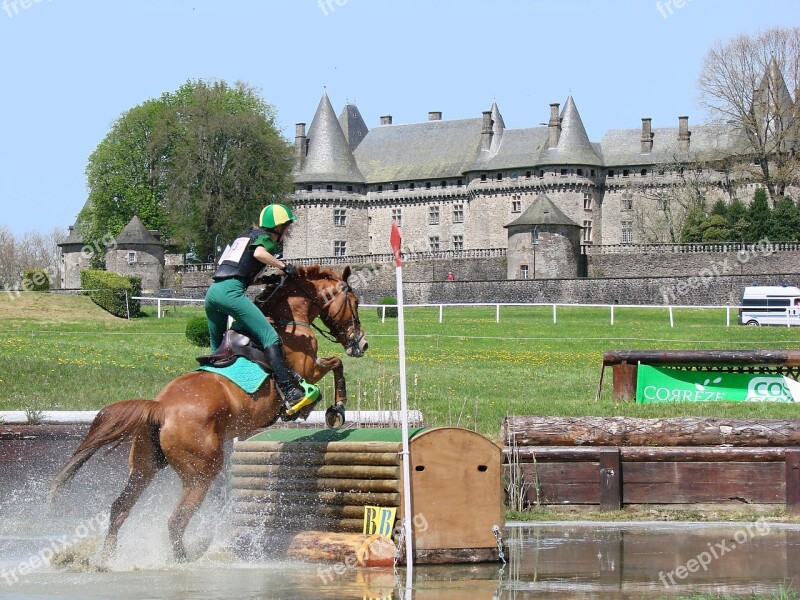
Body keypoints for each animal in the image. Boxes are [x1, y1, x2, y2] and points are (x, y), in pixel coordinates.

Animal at [51, 266, 370, 564]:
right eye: (354, 301)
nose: (361, 343)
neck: (288, 320)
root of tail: (161, 408)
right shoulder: (309, 368)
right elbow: (335, 364)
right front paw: (335, 410)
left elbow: (336, 363)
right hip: (200, 474)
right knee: (176, 521)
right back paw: (185, 561)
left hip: (145, 465)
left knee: (120, 508)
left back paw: (106, 561)